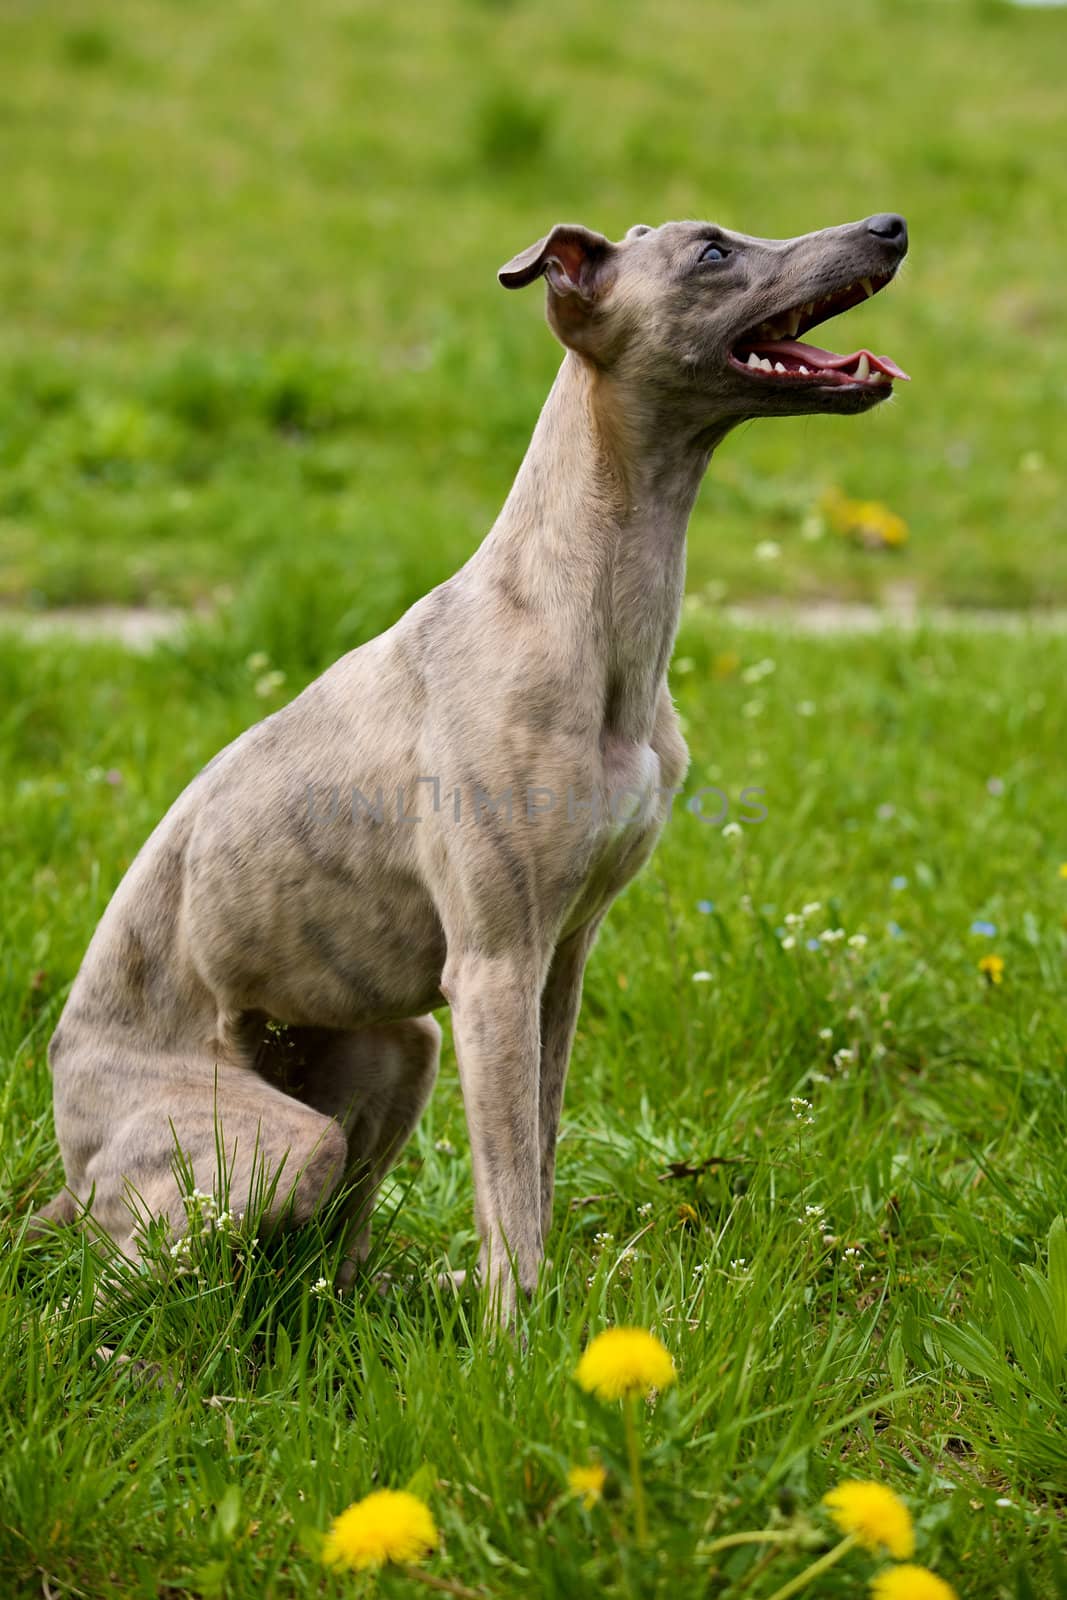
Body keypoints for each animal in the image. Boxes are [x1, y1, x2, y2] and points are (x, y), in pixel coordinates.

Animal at [35, 212, 908, 1312]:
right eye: (711, 252)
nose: (888, 227)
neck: (579, 612)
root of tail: (68, 1142)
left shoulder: (559, 962)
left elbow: (535, 1158)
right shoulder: (494, 965)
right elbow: (509, 1194)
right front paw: (518, 1340)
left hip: (398, 1051)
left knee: (331, 1253)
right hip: (268, 1144)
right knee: (125, 1279)